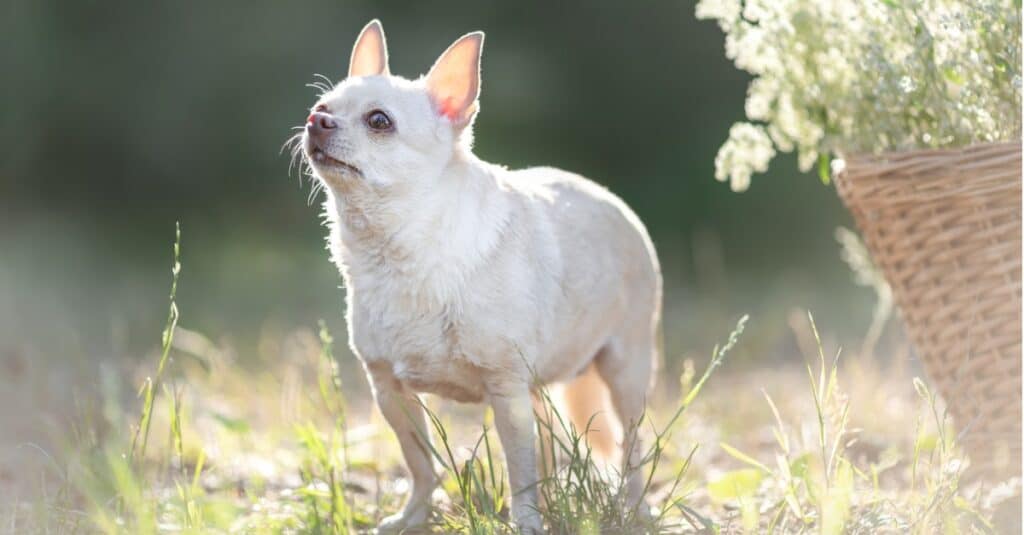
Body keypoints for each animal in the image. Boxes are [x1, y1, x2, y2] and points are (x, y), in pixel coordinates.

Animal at [299, 18, 663, 528]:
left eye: (379, 122)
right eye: (321, 107)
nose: (317, 122)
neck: (401, 247)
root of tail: (609, 197)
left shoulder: (504, 390)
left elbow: (519, 470)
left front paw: (526, 523)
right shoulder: (391, 390)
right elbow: (420, 462)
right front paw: (413, 517)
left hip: (624, 369)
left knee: (632, 447)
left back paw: (635, 507)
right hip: (539, 387)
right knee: (548, 441)